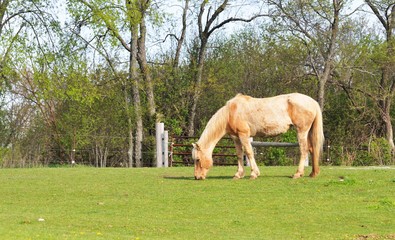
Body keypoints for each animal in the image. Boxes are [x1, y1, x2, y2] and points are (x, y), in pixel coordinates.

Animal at [192, 94, 324, 180]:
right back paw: (312, 174)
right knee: (312, 149)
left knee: (304, 150)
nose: (197, 177)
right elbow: (239, 155)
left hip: (302, 131)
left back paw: (297, 174)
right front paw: (238, 174)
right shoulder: (236, 137)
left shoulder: (244, 135)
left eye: (197, 159)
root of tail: (313, 102)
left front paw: (254, 174)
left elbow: (249, 152)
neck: (231, 112)